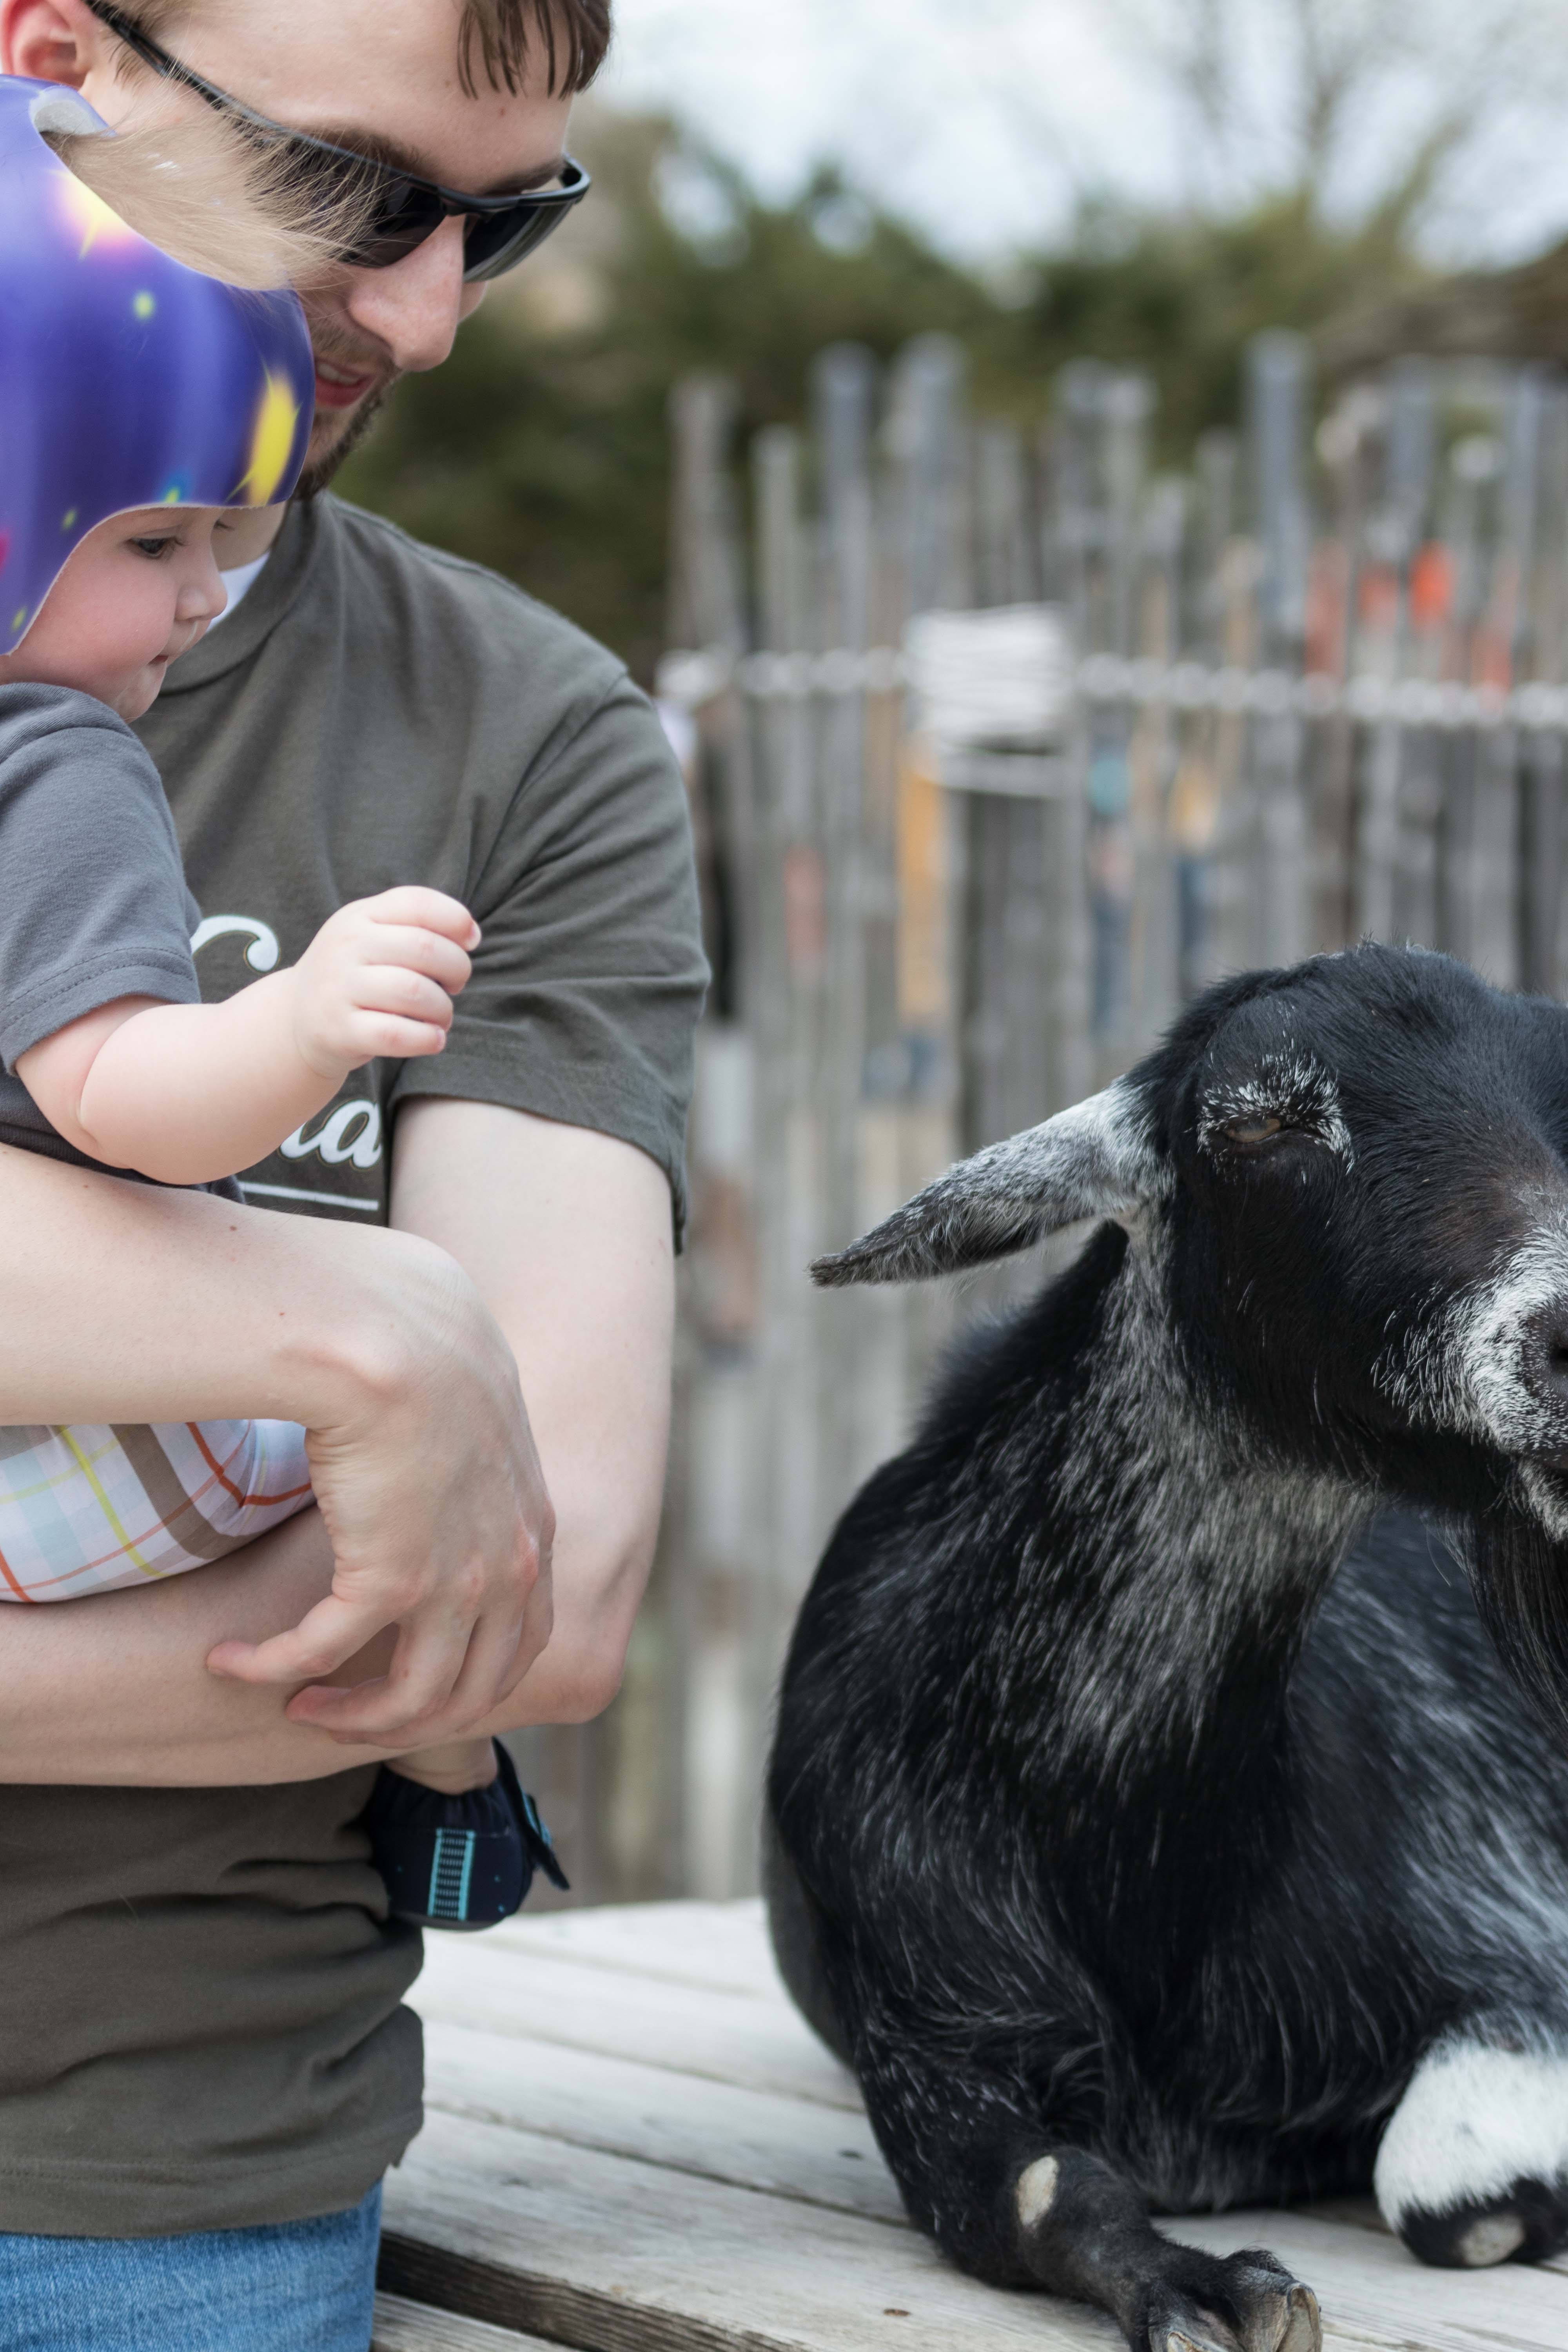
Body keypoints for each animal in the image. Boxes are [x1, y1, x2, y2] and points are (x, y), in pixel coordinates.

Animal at [771, 941, 1568, 2352]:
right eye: (1258, 1126)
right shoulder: (929, 2025)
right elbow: (1038, 2192)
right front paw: (1205, 2289)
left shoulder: (1510, 1916)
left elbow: (1453, 2189)